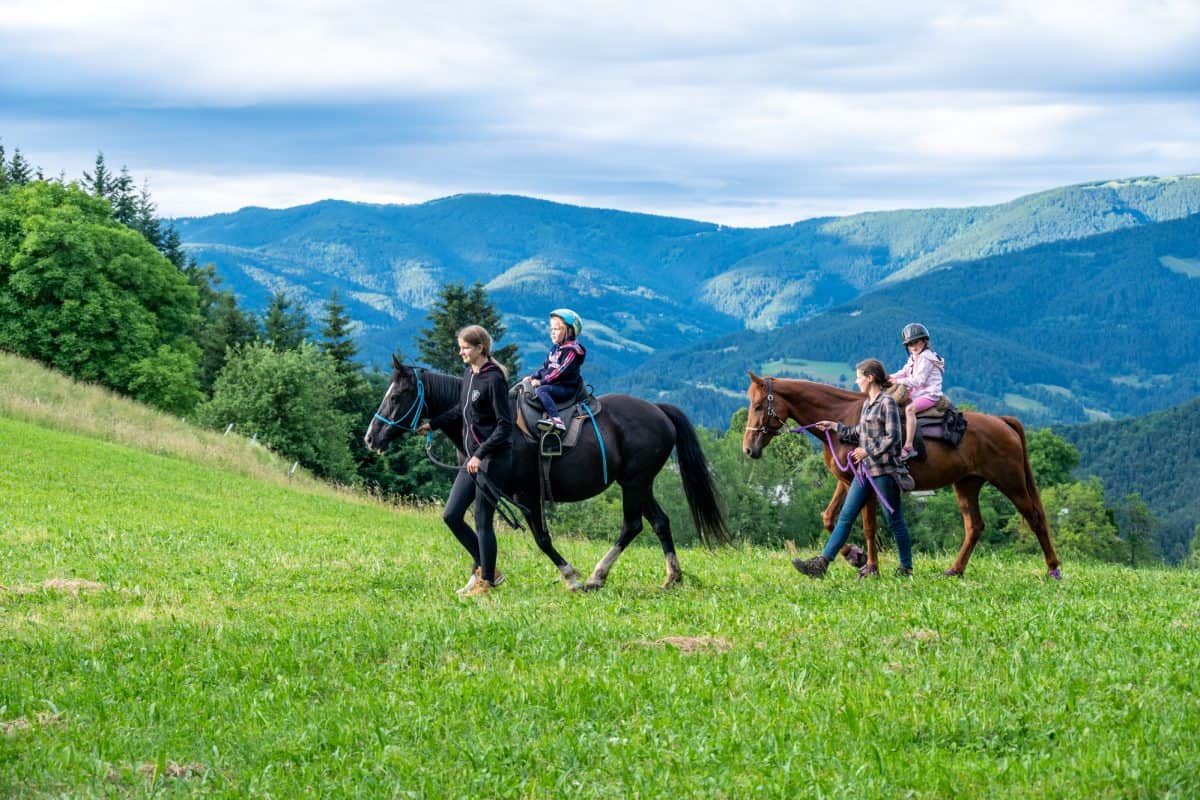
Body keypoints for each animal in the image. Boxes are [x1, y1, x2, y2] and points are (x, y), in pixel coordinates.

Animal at [363, 357, 730, 591]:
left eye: (398, 395)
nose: (371, 437)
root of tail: (659, 411)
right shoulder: (483, 486)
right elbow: (466, 526)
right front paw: (480, 576)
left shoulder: (526, 493)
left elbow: (540, 538)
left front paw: (571, 576)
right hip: (639, 484)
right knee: (660, 522)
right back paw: (672, 577)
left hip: (634, 484)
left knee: (632, 525)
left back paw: (596, 576)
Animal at [742, 372, 1061, 578]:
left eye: (758, 405)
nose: (748, 449)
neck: (844, 417)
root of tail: (1002, 422)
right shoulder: (847, 482)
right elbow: (830, 518)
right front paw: (854, 557)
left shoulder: (865, 484)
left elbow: (868, 526)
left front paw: (869, 567)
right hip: (966, 485)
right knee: (975, 526)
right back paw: (955, 570)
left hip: (1011, 482)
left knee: (1035, 518)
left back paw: (1053, 568)